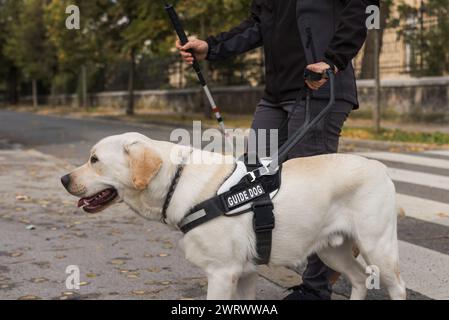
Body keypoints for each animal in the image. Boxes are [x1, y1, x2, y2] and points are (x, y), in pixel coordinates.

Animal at [60, 132, 406, 300]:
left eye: (94, 160)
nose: (63, 179)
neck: (176, 179)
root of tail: (379, 166)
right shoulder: (246, 271)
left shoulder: (222, 273)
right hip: (331, 250)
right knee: (359, 278)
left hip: (378, 246)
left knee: (397, 287)